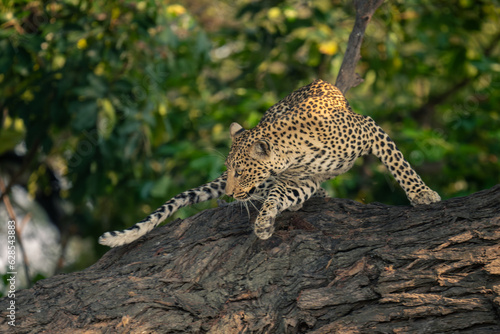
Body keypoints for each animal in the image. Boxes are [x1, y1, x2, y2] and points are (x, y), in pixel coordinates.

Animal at [99, 79, 440, 248]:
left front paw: (421, 194)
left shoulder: (369, 128)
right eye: (229, 172)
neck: (297, 151)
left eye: (240, 171)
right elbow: (277, 194)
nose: (230, 192)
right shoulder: (298, 179)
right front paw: (264, 221)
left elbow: (399, 164)